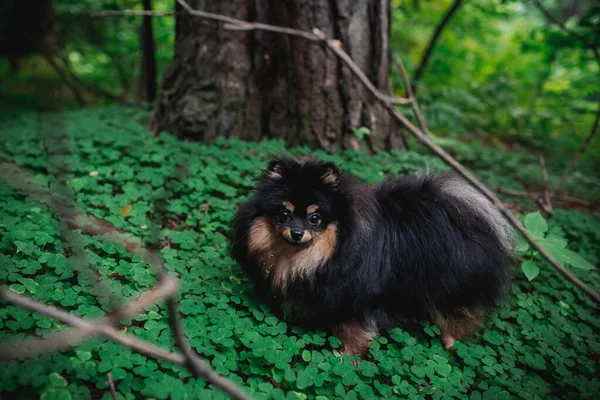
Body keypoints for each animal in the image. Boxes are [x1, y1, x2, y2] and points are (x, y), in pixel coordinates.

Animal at [232, 156, 512, 354]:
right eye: (283, 214)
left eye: (315, 218)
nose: (297, 233)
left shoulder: (356, 299)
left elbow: (354, 333)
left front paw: (347, 357)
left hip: (450, 285)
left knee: (459, 315)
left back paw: (451, 342)